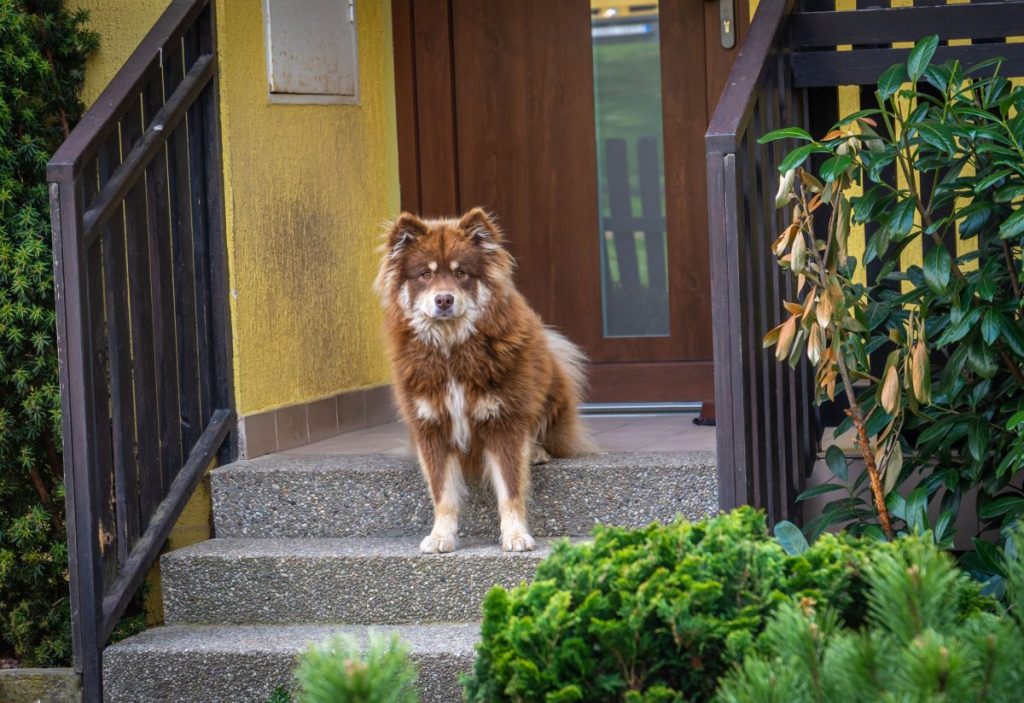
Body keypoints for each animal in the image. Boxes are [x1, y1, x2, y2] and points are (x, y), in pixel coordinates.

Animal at [376, 208, 593, 556]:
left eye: (461, 273)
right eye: (424, 275)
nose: (444, 299)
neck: (451, 349)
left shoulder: (505, 421)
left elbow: (510, 489)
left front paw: (516, 535)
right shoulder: (430, 428)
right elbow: (442, 493)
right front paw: (441, 535)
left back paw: (536, 451)